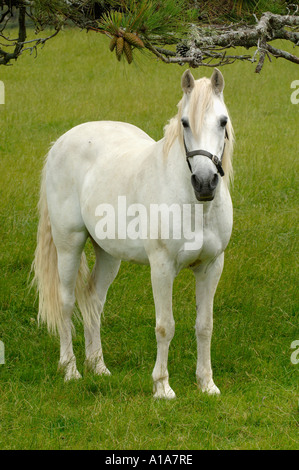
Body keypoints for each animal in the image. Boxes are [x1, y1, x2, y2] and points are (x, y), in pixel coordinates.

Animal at [32, 70, 234, 398]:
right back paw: (71, 370)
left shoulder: (211, 266)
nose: (205, 183)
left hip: (108, 254)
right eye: (185, 122)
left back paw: (98, 367)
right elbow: (165, 326)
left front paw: (207, 384)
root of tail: (60, 142)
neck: (195, 206)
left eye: (223, 121)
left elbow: (205, 325)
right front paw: (162, 387)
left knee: (93, 300)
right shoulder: (162, 267)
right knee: (66, 302)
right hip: (69, 245)